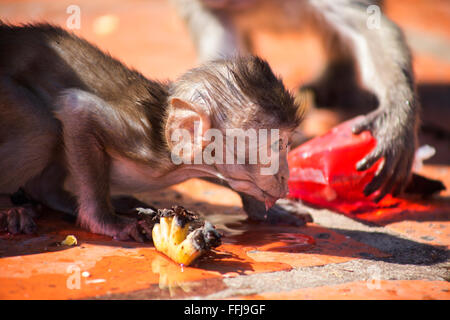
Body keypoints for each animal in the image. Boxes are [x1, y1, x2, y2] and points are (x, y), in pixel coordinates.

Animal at [0, 23, 306, 241]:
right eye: (277, 145)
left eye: (287, 144)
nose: (285, 175)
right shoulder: (139, 142)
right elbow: (76, 109)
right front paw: (105, 222)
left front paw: (270, 211)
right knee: (42, 128)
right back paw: (13, 207)